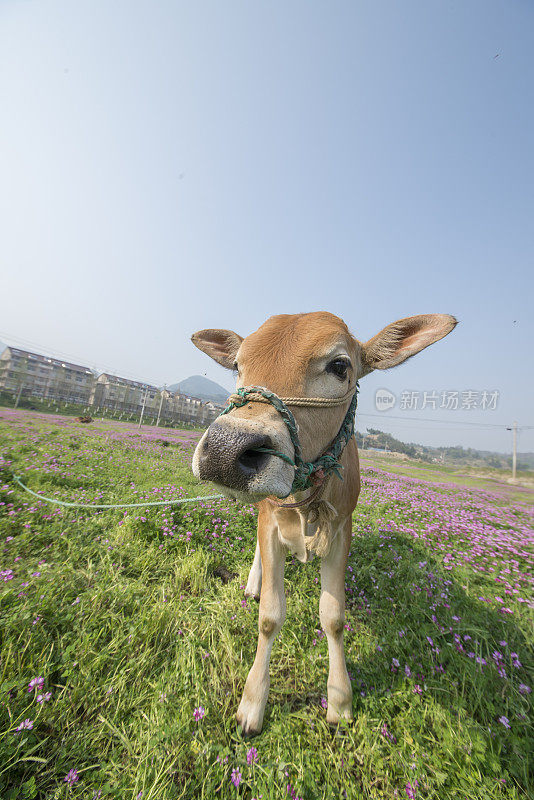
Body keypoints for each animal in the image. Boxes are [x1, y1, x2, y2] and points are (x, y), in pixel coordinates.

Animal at [191, 310, 458, 736]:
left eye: (340, 366)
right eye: (237, 366)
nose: (223, 451)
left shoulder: (342, 530)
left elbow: (333, 618)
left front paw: (339, 699)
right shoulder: (271, 517)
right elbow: (270, 616)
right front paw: (252, 703)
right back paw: (254, 583)